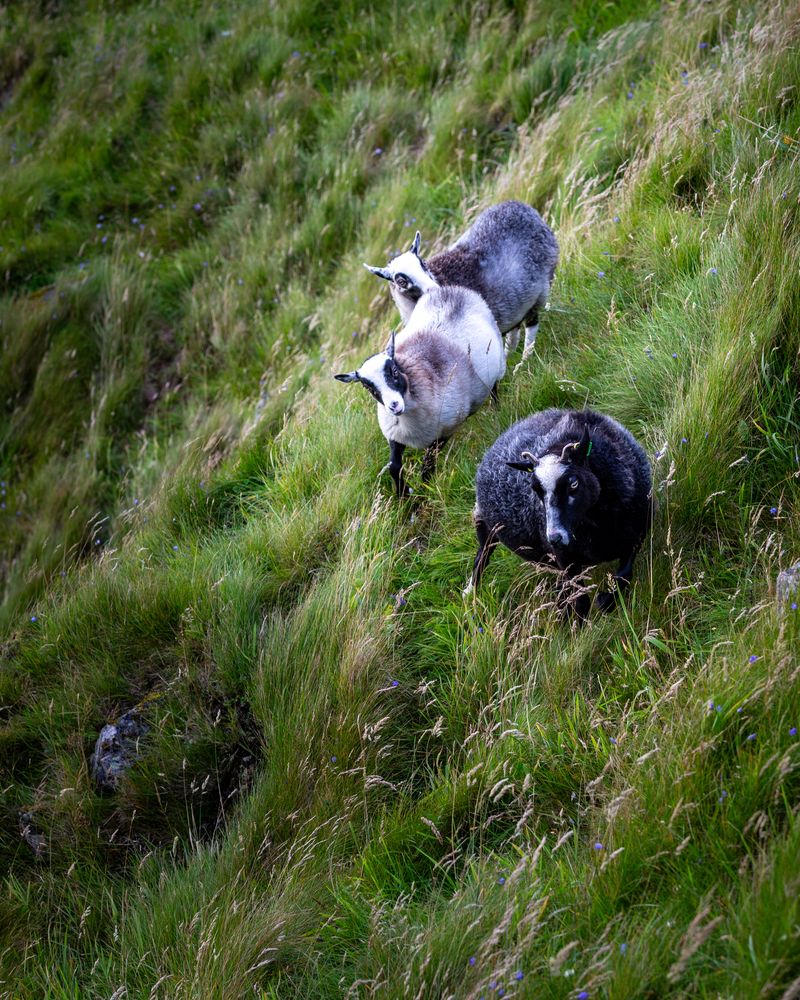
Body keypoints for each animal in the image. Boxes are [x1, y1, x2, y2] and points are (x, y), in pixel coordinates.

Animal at [335, 286, 505, 497]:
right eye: (368, 386)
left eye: (394, 371)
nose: (394, 405)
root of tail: (450, 290)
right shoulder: (395, 435)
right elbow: (394, 466)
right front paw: (404, 493)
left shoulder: (445, 430)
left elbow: (428, 463)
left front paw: (426, 488)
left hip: (494, 368)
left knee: (494, 390)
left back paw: (497, 411)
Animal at [364, 200, 558, 363]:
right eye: (401, 281)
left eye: (422, 263)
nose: (435, 289)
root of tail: (521, 206)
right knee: (515, 332)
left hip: (540, 288)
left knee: (531, 325)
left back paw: (525, 360)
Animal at [466, 408, 652, 618]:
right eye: (535, 489)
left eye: (573, 483)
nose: (555, 537)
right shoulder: (566, 559)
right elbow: (581, 602)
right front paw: (581, 622)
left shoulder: (637, 533)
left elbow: (625, 574)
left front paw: (606, 601)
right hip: (486, 527)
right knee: (481, 557)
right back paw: (470, 593)